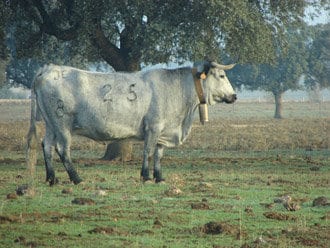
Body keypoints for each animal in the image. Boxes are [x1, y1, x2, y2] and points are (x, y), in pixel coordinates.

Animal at [26, 61, 237, 185]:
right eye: (222, 76)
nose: (234, 96)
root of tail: (47, 69)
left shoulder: (163, 131)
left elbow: (159, 153)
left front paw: (159, 177)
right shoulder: (153, 127)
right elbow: (148, 151)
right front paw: (145, 176)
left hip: (51, 124)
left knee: (47, 145)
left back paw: (52, 178)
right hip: (62, 123)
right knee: (62, 149)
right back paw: (76, 178)